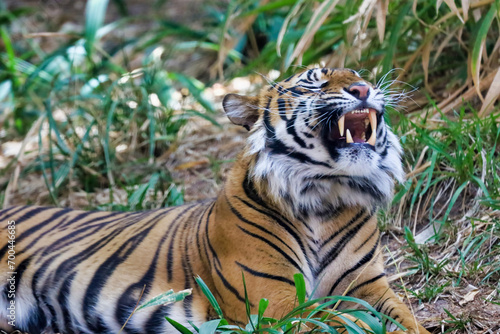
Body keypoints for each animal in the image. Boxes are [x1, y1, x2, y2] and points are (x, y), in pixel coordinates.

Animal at [0, 68, 430, 334]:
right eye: (312, 85)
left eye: (359, 76)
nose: (363, 90)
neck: (326, 197)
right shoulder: (275, 301)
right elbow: (336, 323)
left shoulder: (369, 288)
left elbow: (407, 321)